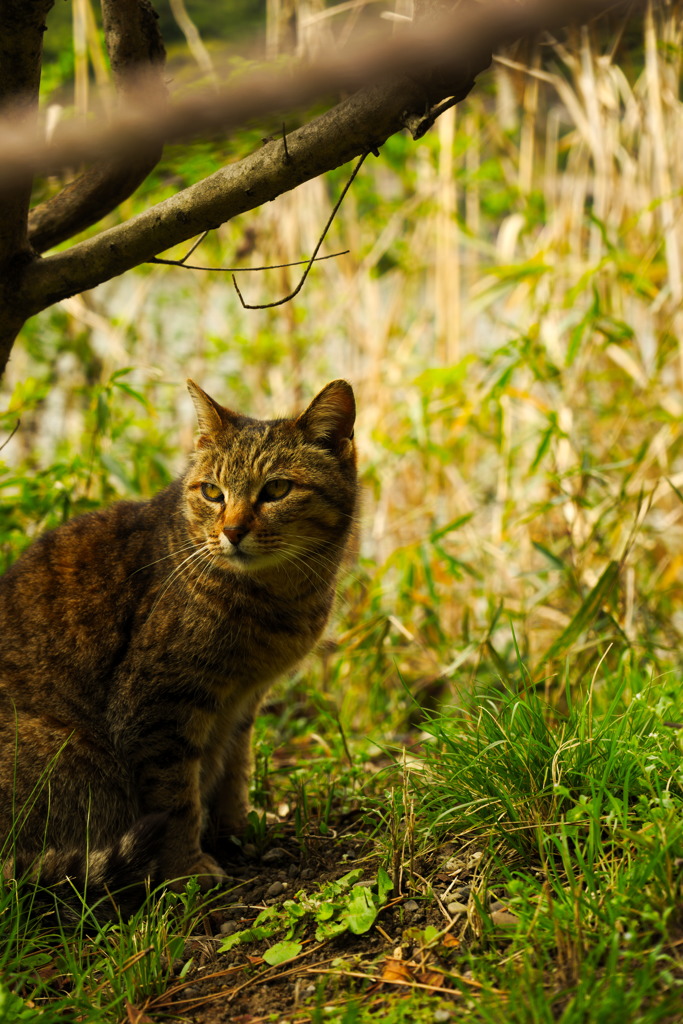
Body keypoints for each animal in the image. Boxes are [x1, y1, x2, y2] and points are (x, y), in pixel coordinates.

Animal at [0, 378, 358, 913]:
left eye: (277, 489)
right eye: (212, 492)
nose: (232, 531)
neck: (275, 599)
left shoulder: (243, 702)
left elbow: (234, 770)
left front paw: (236, 829)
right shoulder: (157, 706)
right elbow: (174, 800)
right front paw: (187, 871)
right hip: (74, 753)